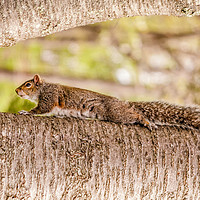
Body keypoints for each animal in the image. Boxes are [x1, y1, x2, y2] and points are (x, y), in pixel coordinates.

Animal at [15, 74, 200, 130]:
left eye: (28, 84)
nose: (16, 91)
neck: (43, 88)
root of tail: (124, 102)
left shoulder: (49, 96)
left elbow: (41, 109)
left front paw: (25, 112)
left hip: (117, 113)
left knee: (135, 115)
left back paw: (146, 122)